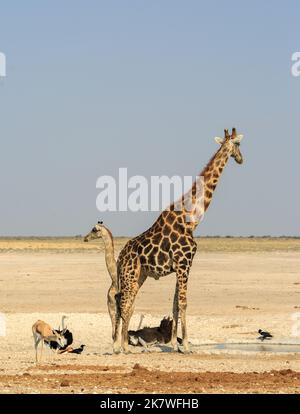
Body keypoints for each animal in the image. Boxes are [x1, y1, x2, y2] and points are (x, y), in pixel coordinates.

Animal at [114, 128, 244, 354]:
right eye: (238, 144)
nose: (241, 159)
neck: (191, 219)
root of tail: (120, 257)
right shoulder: (184, 263)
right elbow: (183, 303)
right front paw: (186, 345)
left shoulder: (181, 266)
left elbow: (175, 303)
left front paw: (175, 344)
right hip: (129, 274)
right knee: (124, 302)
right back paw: (120, 347)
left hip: (140, 275)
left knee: (129, 303)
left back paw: (123, 345)